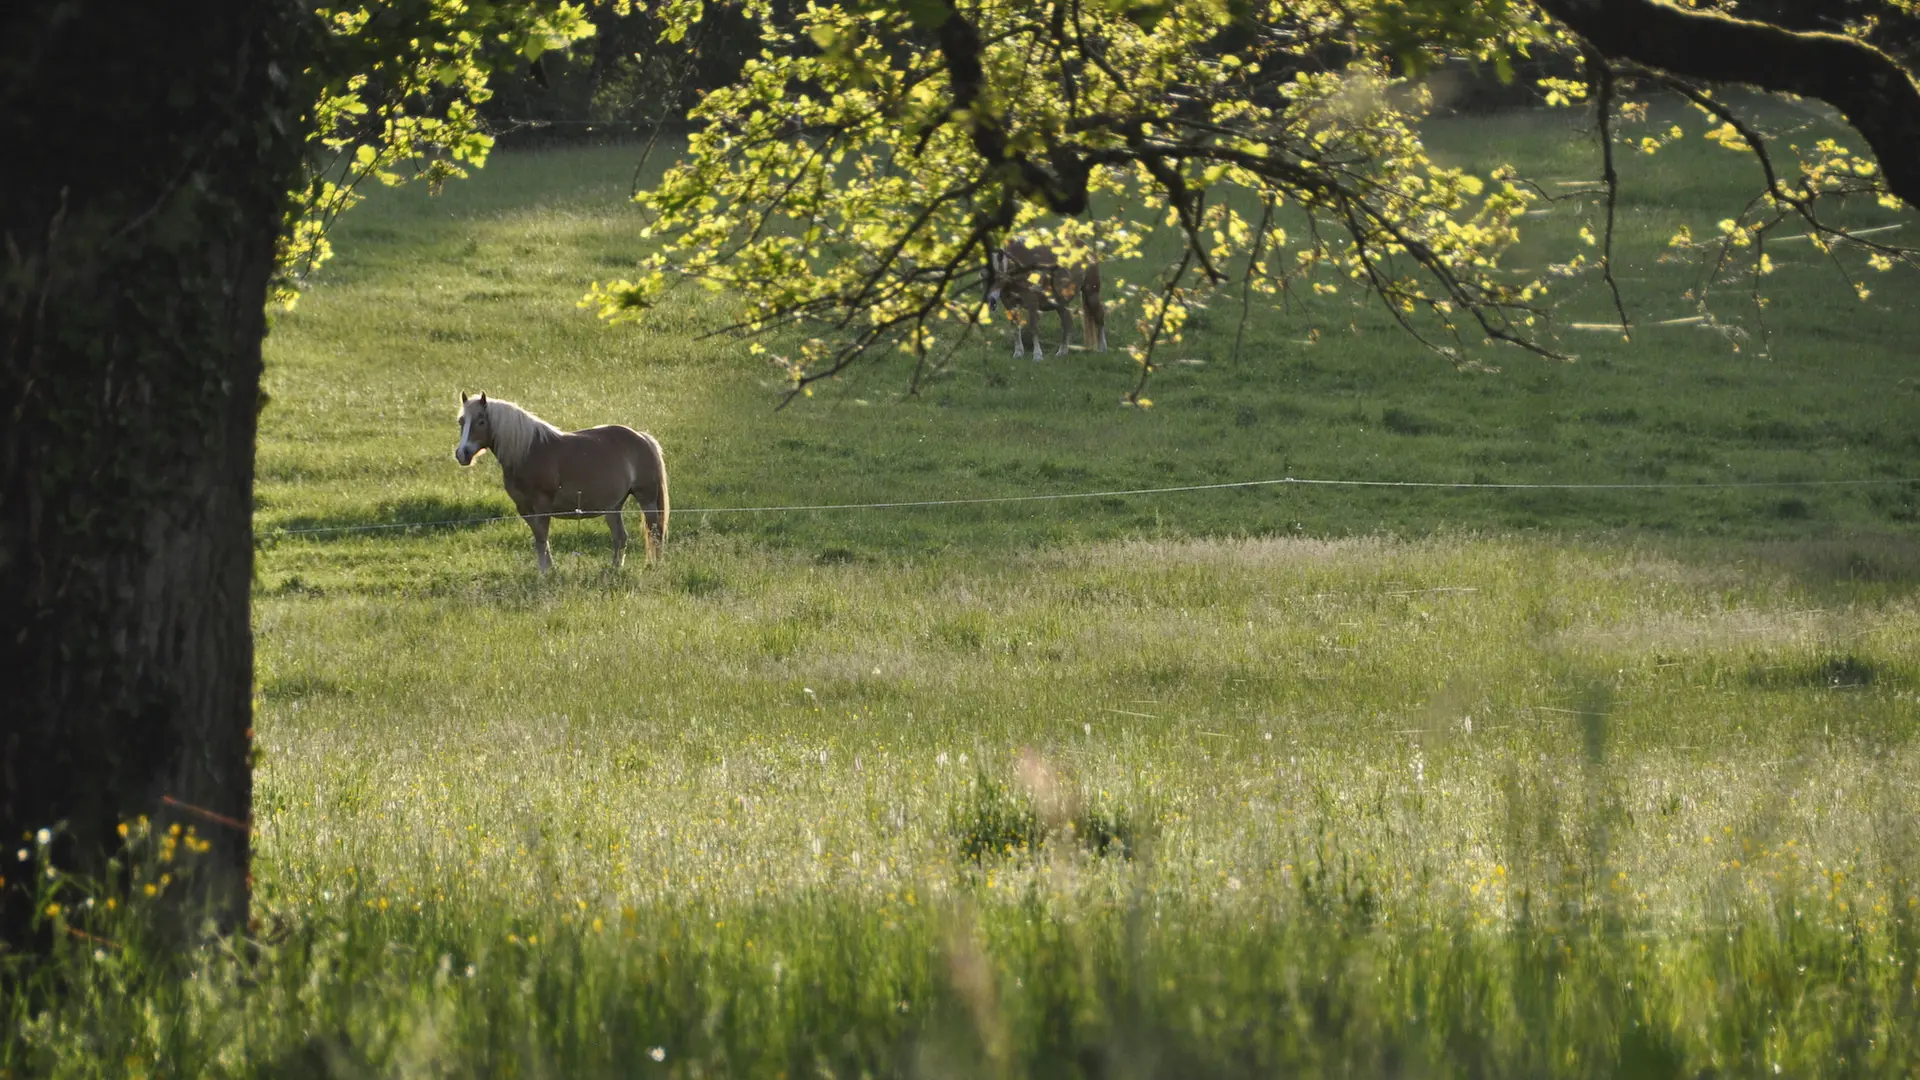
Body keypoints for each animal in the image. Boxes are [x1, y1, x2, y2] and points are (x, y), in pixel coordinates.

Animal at [449, 388, 668, 572]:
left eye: (481, 421)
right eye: (461, 421)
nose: (462, 454)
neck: (529, 452)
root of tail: (642, 437)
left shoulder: (542, 506)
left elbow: (541, 539)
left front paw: (545, 572)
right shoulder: (525, 509)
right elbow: (540, 540)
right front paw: (548, 570)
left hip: (646, 500)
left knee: (655, 534)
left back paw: (654, 567)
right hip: (613, 507)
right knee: (621, 537)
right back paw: (614, 569)